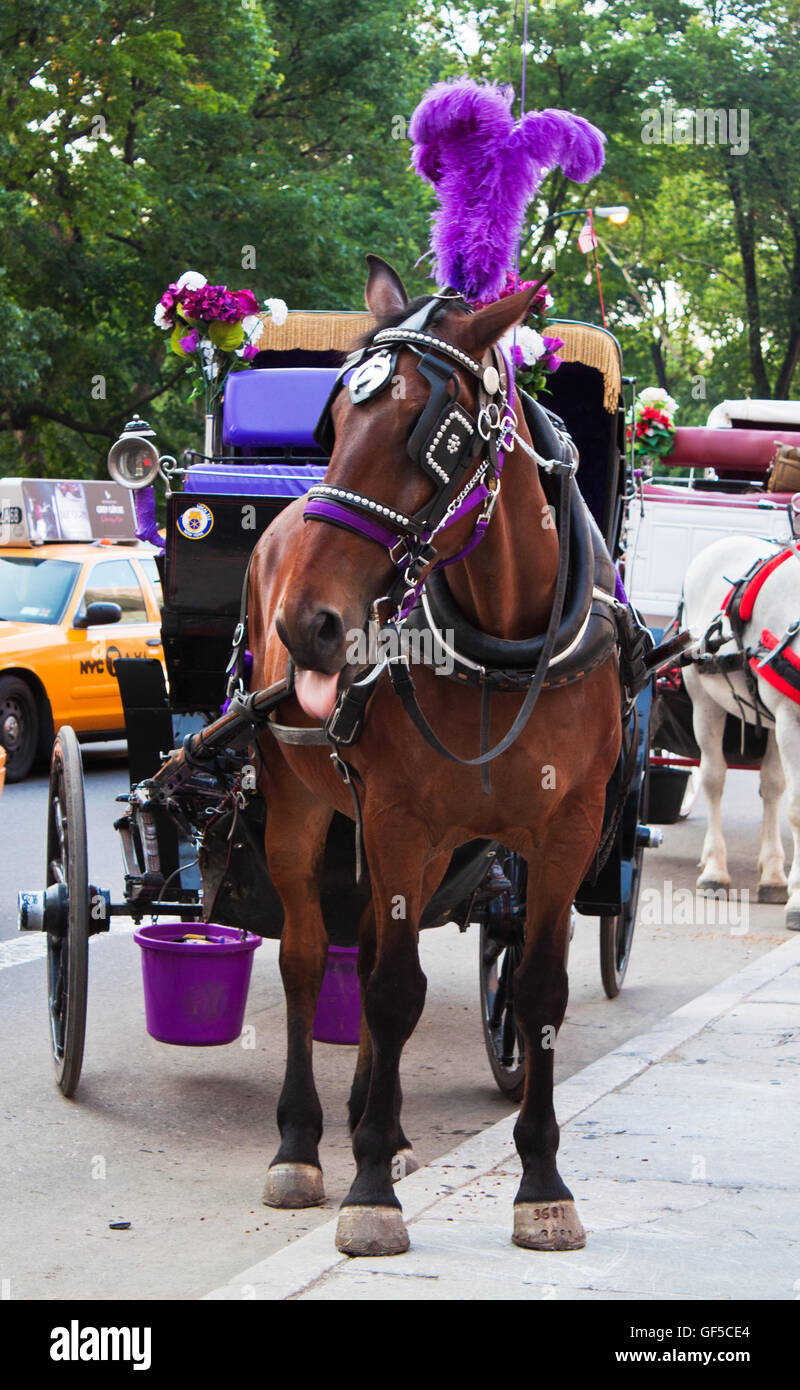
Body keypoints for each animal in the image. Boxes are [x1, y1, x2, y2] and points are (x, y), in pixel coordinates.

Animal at [246, 255, 623, 1257]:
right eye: (334, 425)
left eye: (436, 440)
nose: (307, 624)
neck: (504, 642)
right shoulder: (398, 817)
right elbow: (387, 993)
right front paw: (369, 1187)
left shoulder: (565, 832)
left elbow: (537, 993)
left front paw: (542, 1182)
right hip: (301, 804)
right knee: (310, 958)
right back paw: (301, 1142)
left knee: (379, 939)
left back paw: (379, 1124)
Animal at [681, 533, 800, 929]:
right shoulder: (792, 720)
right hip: (704, 700)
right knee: (713, 777)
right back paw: (715, 870)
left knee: (772, 786)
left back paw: (774, 876)